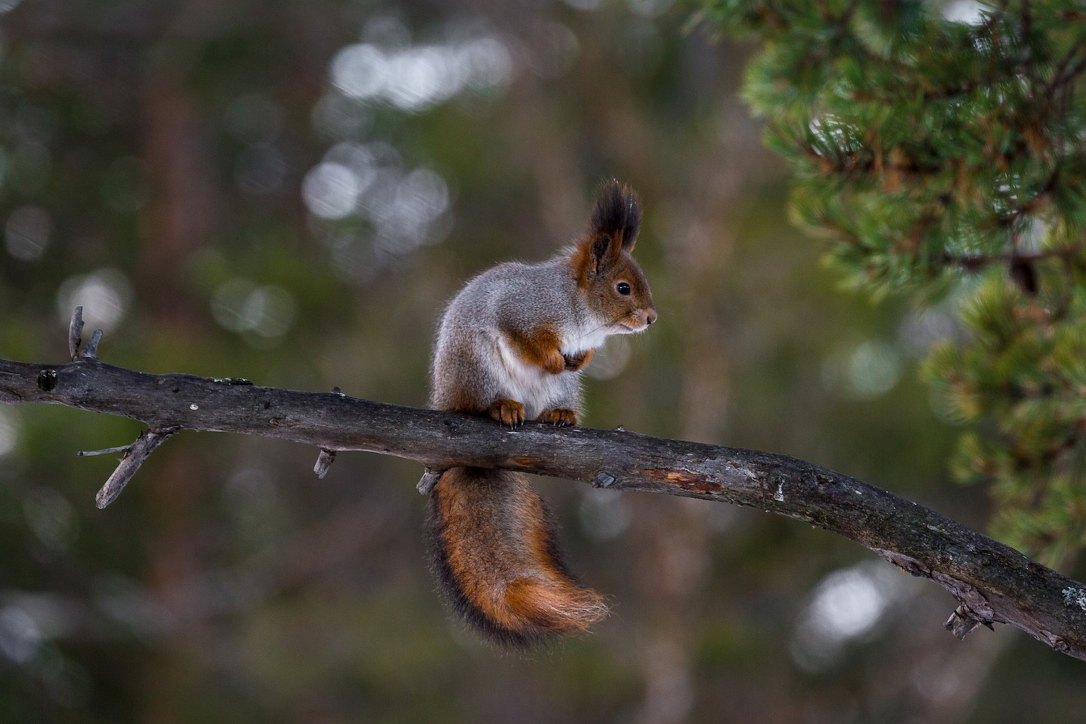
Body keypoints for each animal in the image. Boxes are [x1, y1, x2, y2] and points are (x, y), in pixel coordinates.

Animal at [425, 180, 657, 647]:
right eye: (624, 288)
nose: (651, 318)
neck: (578, 310)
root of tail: (446, 395)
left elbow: (582, 355)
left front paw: (580, 358)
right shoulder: (521, 310)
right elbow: (529, 339)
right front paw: (550, 357)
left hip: (559, 390)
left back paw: (559, 415)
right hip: (477, 368)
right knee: (484, 400)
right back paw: (503, 407)